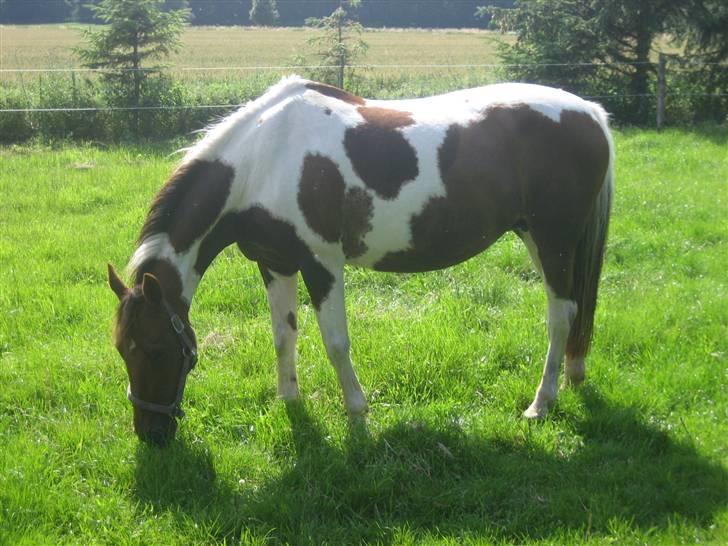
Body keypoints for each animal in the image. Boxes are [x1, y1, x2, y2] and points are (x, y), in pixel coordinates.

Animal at [105, 74, 612, 444]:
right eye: (122, 348)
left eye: (154, 348)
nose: (150, 434)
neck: (264, 161)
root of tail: (591, 113)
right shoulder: (275, 264)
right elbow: (283, 335)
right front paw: (290, 401)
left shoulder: (322, 265)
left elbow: (335, 343)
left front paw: (357, 413)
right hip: (539, 239)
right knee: (572, 312)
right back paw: (574, 376)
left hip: (554, 240)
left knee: (561, 315)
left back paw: (541, 403)